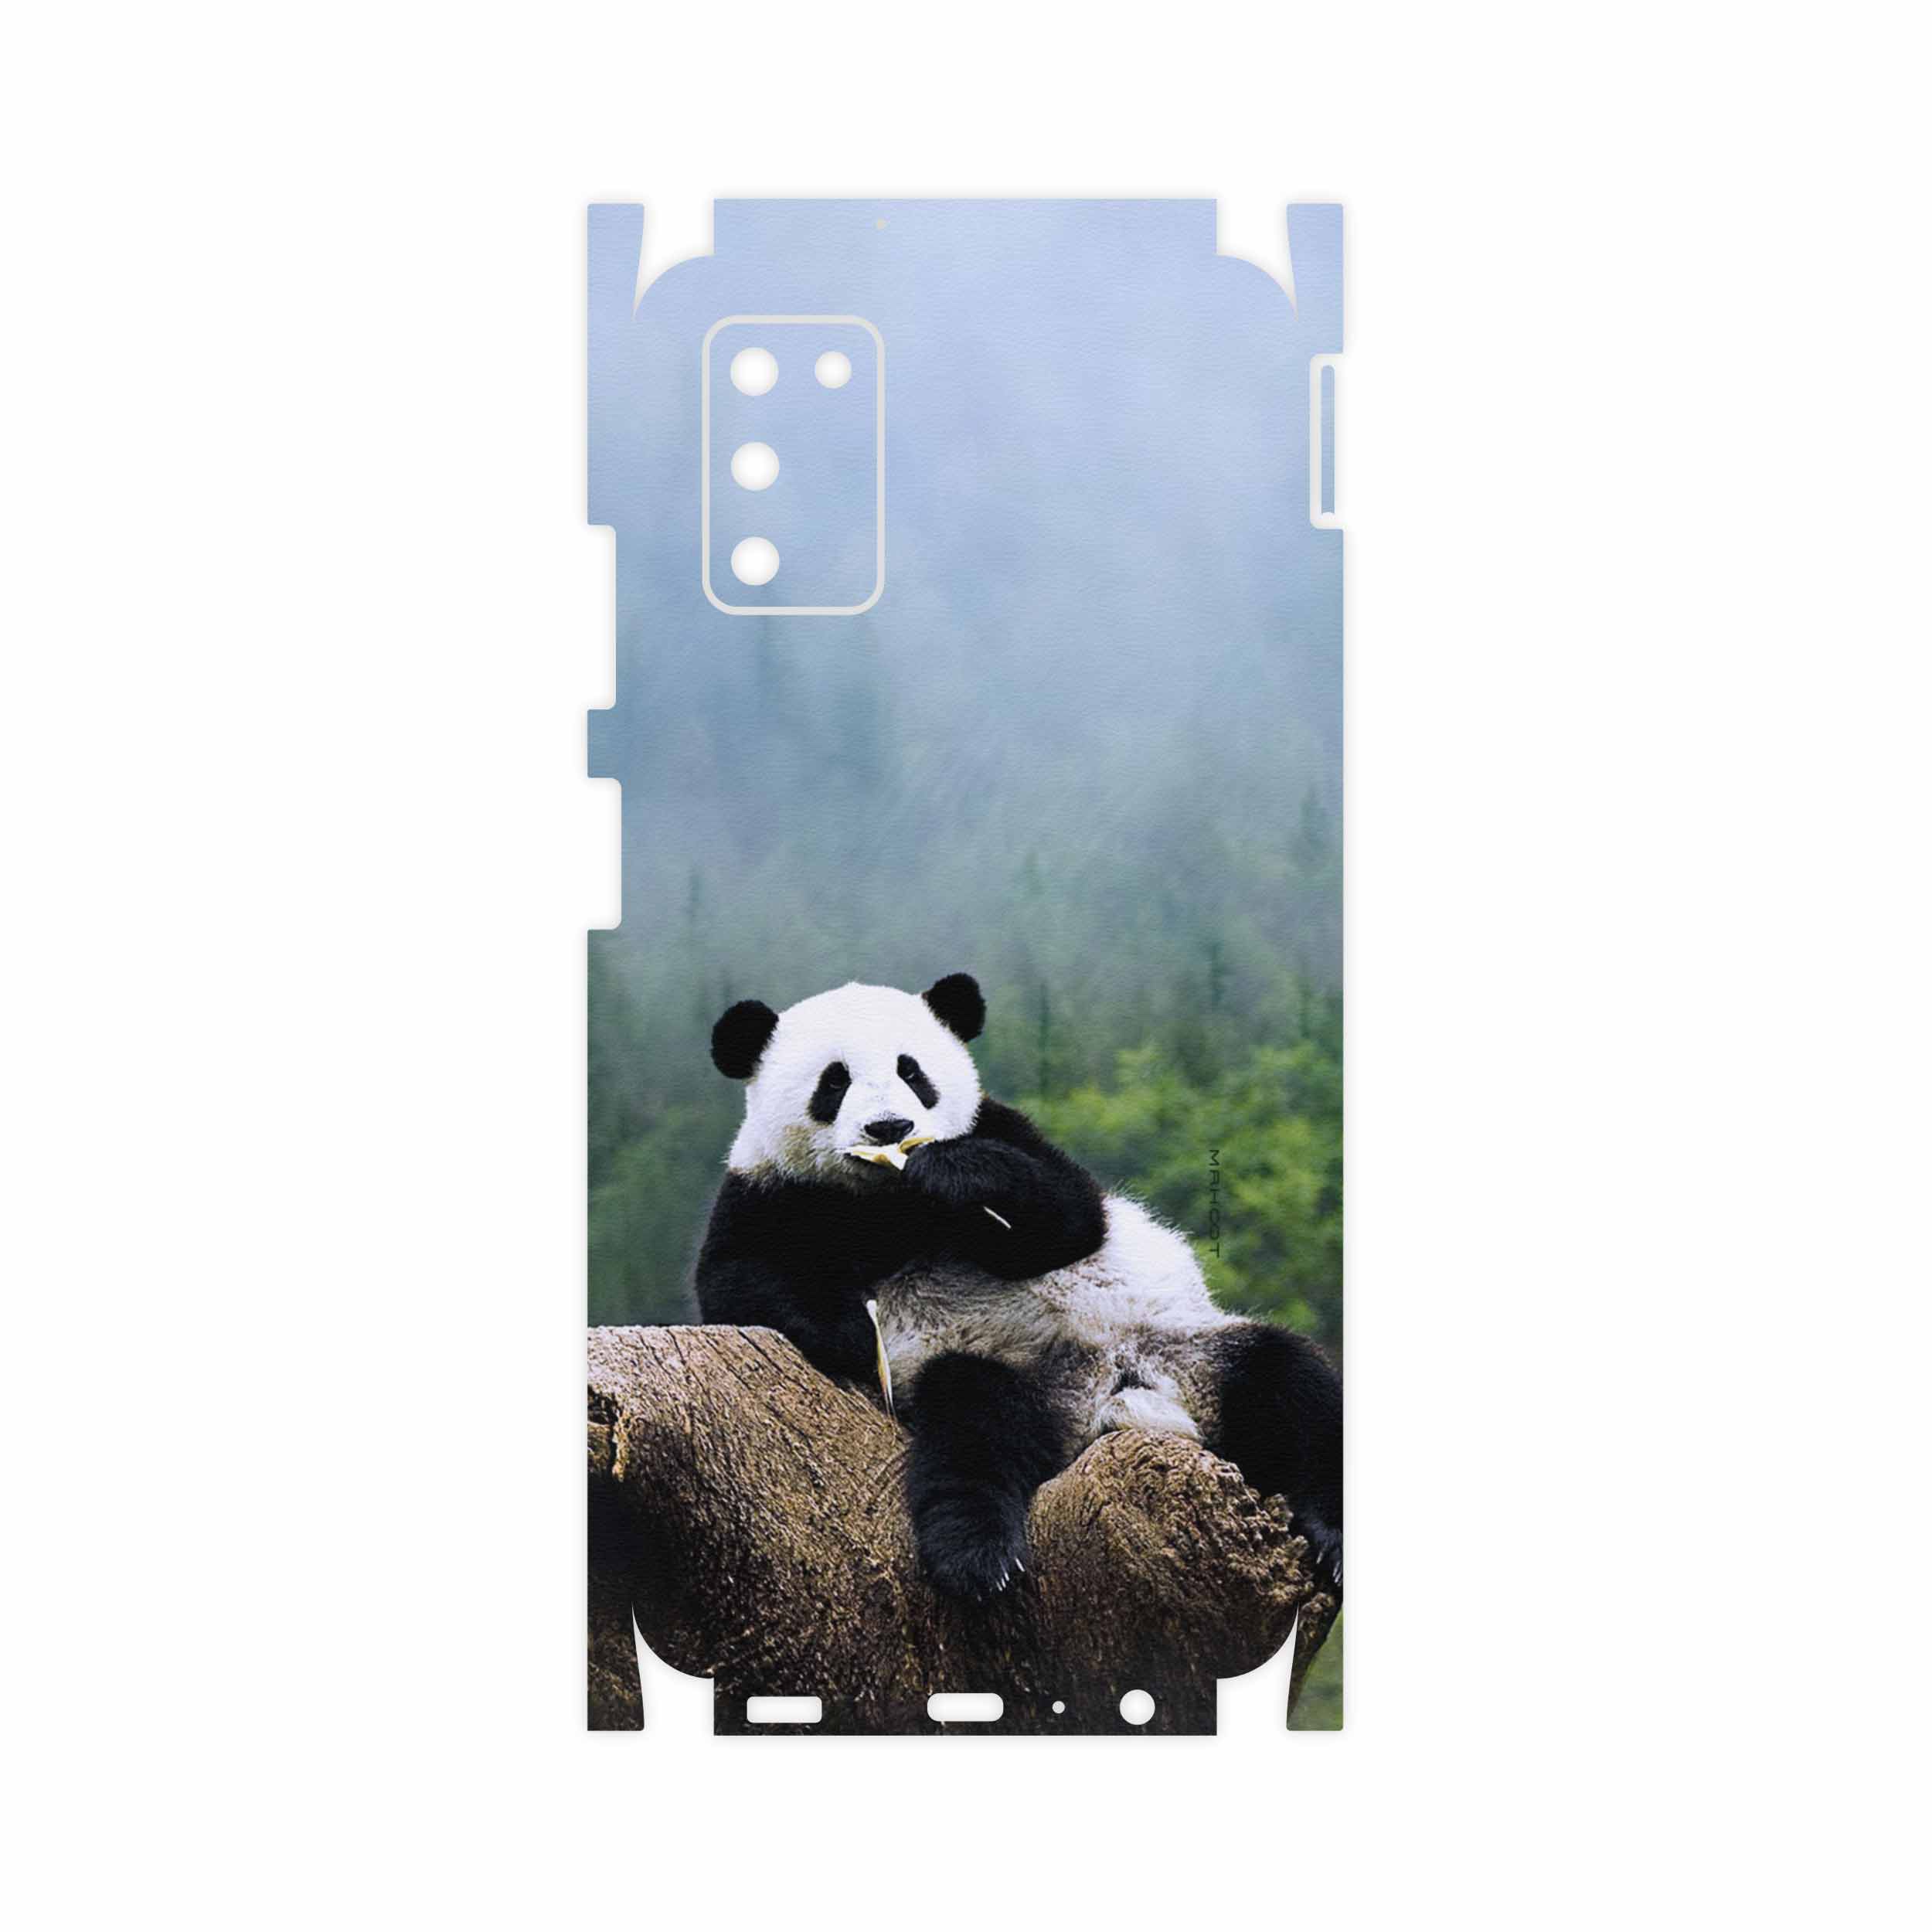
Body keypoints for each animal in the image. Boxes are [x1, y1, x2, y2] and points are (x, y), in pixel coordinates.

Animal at [695, 973, 1342, 1600]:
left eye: (913, 1072)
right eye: (834, 1082)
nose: (890, 1127)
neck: (888, 1199)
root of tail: (1109, 1400)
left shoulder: (1002, 1128)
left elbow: (1070, 1216)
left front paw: (954, 1174)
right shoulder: (769, 1191)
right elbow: (737, 1280)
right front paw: (856, 1333)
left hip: (1186, 1350)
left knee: (1292, 1385)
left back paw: (1331, 1537)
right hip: (1004, 1374)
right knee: (974, 1429)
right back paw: (979, 1558)